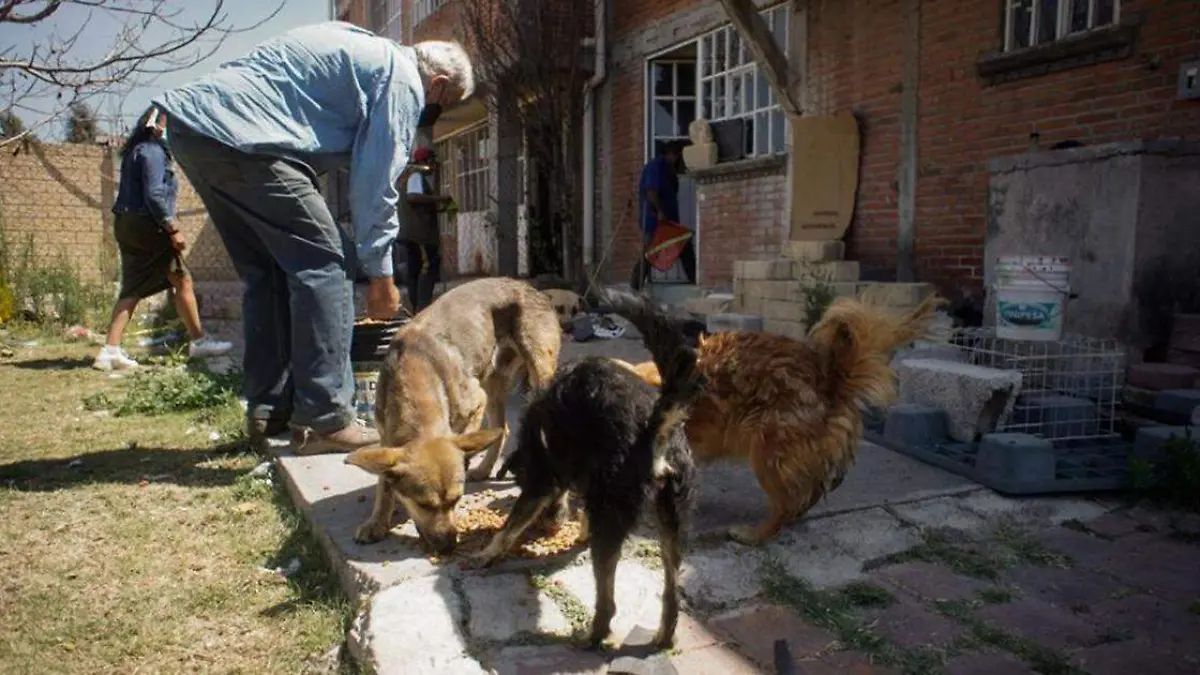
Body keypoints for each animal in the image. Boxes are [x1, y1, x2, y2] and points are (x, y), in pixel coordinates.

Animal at [348, 276, 561, 550]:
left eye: (456, 499)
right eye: (424, 505)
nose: (449, 545)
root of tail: (530, 287)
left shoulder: (475, 402)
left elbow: (461, 437)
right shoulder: (387, 438)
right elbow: (384, 483)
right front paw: (377, 521)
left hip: (536, 370)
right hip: (493, 379)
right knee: (502, 428)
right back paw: (484, 469)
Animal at [468, 288, 700, 648]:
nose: (551, 524)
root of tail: (654, 429)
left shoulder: (541, 482)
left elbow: (510, 525)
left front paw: (487, 553)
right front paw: (577, 530)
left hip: (614, 522)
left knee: (608, 600)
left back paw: (592, 636)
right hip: (672, 523)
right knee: (671, 593)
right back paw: (663, 636)